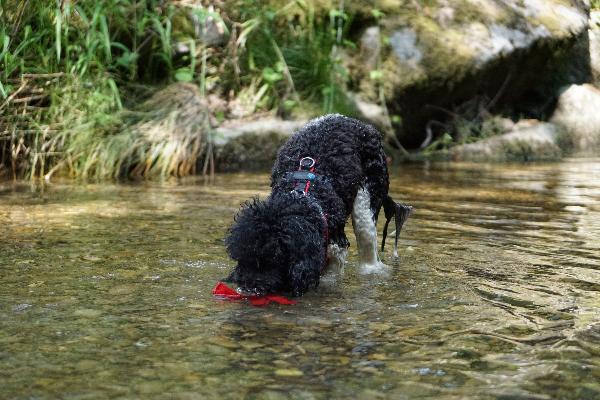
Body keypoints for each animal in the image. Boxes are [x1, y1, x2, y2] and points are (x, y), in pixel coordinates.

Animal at [224, 114, 411, 297]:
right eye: (243, 258)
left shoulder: (335, 242)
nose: (248, 288)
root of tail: (359, 123)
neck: (302, 194)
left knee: (368, 250)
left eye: (274, 259)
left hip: (367, 198)